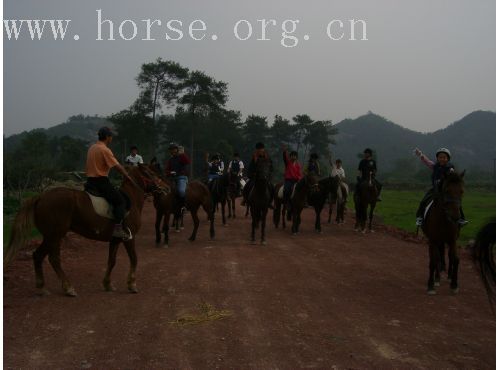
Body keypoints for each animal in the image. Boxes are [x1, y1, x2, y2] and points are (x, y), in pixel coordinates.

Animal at [4, 166, 164, 296]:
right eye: (151, 173)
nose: (166, 188)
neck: (131, 200)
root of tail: (40, 197)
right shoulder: (129, 238)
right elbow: (134, 259)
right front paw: (132, 285)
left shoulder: (115, 240)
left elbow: (111, 261)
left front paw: (107, 284)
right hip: (55, 235)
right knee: (53, 259)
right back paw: (68, 288)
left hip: (50, 236)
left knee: (38, 256)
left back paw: (42, 288)